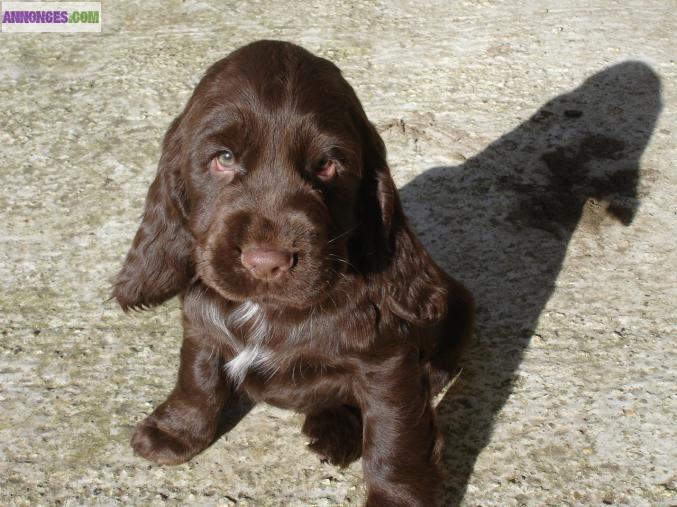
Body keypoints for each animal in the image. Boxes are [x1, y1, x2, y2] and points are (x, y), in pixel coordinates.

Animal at [113, 40, 472, 507]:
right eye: (223, 158)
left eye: (326, 165)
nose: (267, 261)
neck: (266, 308)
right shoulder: (201, 321)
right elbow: (197, 375)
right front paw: (176, 431)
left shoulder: (390, 363)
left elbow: (394, 438)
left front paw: (395, 497)